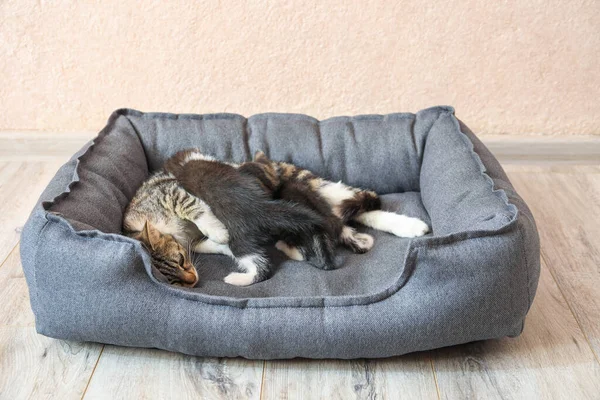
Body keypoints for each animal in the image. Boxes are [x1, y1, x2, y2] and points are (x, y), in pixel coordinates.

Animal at [123, 148, 328, 286]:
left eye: (181, 260)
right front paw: (219, 243)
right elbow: (200, 245)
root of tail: (261, 208)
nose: (193, 280)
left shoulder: (170, 191)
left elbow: (190, 205)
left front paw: (217, 232)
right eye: (174, 282)